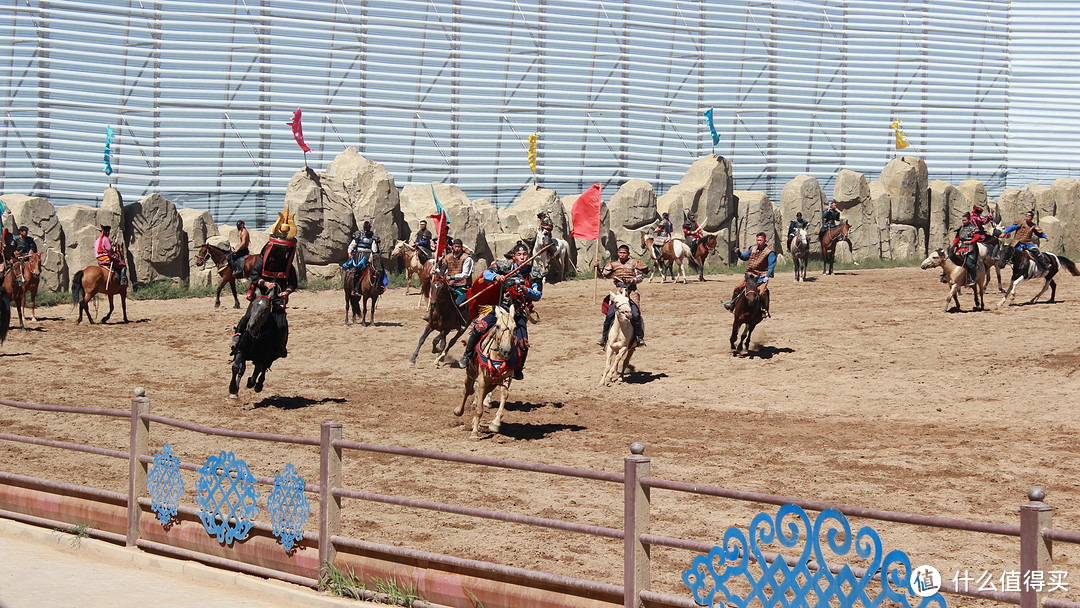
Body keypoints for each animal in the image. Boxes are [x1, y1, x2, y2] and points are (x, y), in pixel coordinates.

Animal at [453, 304, 516, 438]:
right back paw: (458, 411)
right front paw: (474, 433)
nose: (506, 351)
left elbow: (504, 395)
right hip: (471, 371)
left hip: (492, 382)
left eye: (515, 328)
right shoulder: (482, 379)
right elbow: (479, 407)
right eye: (498, 326)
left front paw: (495, 423)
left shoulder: (506, 378)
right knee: (467, 390)